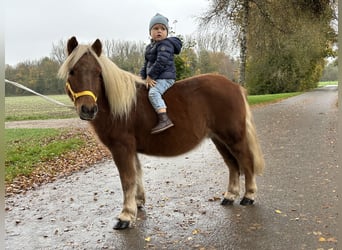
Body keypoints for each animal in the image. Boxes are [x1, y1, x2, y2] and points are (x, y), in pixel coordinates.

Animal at [58, 36, 264, 229]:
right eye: (72, 71)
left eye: (98, 73)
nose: (88, 109)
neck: (119, 105)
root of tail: (235, 86)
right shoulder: (131, 149)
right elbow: (137, 175)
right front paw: (138, 203)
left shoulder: (121, 148)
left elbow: (127, 179)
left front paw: (125, 216)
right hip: (219, 139)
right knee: (232, 165)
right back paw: (230, 196)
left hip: (234, 137)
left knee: (246, 161)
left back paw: (249, 196)